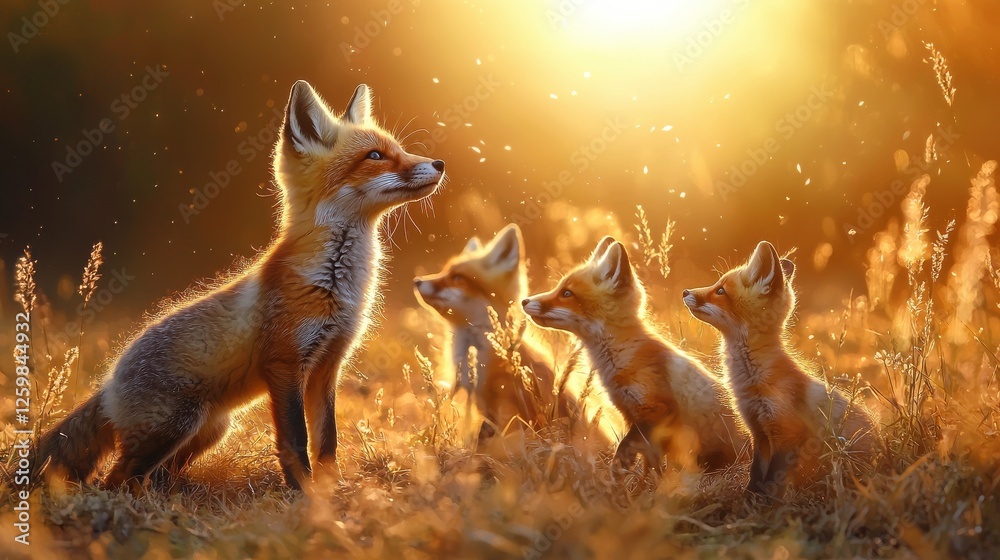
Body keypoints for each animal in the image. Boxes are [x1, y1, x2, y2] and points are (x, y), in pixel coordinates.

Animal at [35, 80, 446, 492]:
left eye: (399, 150)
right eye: (375, 156)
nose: (440, 163)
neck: (333, 283)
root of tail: (108, 383)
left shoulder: (328, 365)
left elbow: (327, 440)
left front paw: (334, 490)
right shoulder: (284, 363)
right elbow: (295, 440)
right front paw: (303, 494)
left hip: (208, 432)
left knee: (158, 477)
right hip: (174, 426)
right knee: (116, 480)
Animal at [522, 238, 746, 473]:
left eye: (566, 293)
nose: (524, 301)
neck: (620, 356)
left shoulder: (657, 410)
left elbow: (626, 447)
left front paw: (619, 472)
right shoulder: (630, 414)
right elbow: (649, 464)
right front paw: (642, 481)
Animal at [682, 240, 877, 497]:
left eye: (721, 291)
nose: (685, 292)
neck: (754, 379)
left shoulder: (787, 434)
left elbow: (773, 478)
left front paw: (767, 503)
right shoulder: (759, 432)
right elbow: (756, 474)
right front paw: (749, 499)